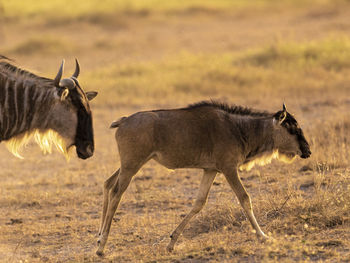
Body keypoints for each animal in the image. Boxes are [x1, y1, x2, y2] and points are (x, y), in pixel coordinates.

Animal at [95, 101, 308, 256]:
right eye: (293, 129)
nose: (307, 151)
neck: (239, 128)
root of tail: (124, 121)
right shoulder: (229, 169)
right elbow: (245, 199)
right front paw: (263, 236)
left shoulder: (210, 170)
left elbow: (199, 203)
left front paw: (172, 242)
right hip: (132, 166)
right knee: (116, 193)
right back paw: (101, 246)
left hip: (130, 165)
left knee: (108, 184)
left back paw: (98, 237)